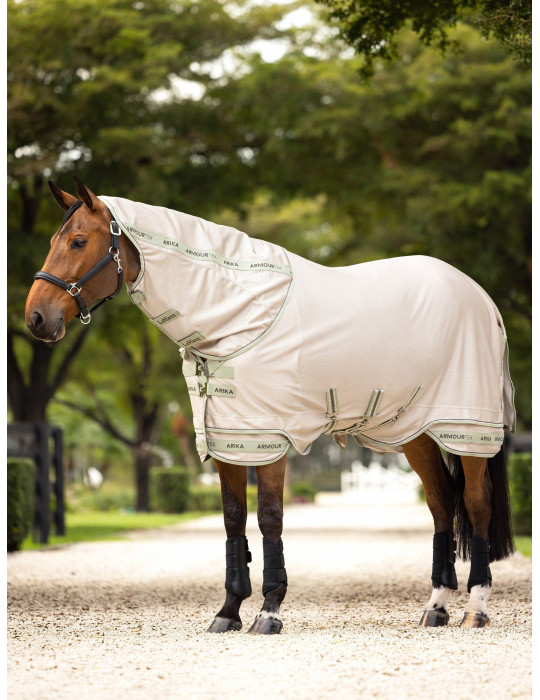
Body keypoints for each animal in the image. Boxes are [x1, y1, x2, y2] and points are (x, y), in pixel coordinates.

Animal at [25, 178, 515, 633]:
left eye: (78, 241)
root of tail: (482, 298)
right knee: (440, 503)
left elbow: (269, 518)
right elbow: (233, 520)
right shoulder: (230, 439)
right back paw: (436, 608)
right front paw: (227, 612)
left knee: (475, 504)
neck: (239, 312)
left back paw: (475, 609)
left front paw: (269, 610)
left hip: (469, 430)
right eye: (51, 241)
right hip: (417, 432)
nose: (36, 318)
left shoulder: (271, 438)